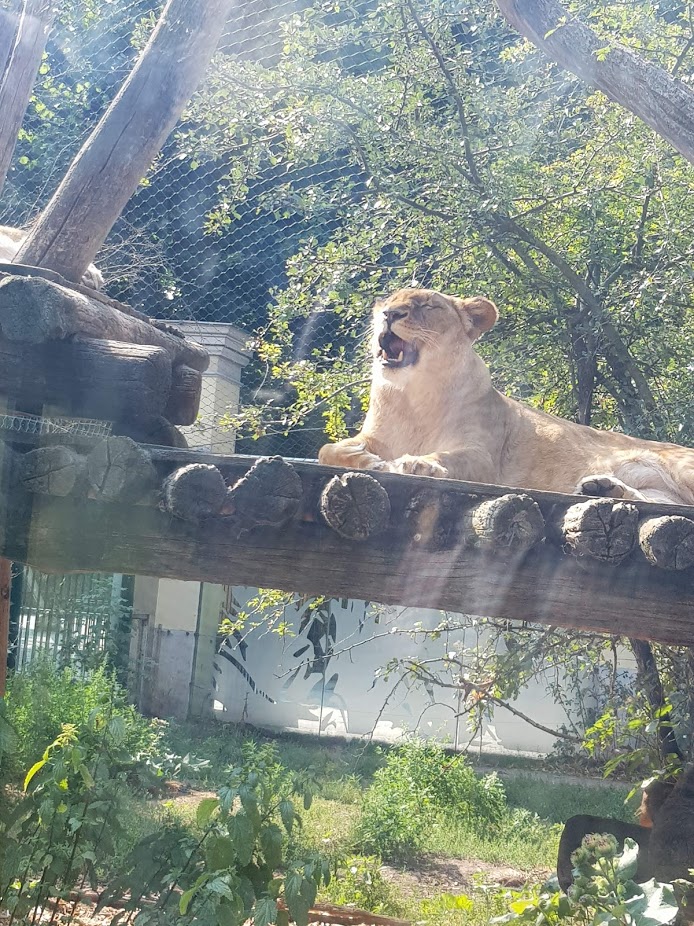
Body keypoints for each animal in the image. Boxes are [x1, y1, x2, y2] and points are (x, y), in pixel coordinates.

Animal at [318, 288, 694, 505]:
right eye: (386, 302)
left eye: (427, 305)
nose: (389, 315)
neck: (414, 395)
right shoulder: (373, 436)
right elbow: (329, 450)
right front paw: (368, 461)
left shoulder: (484, 455)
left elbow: (451, 458)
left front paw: (418, 463)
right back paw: (602, 488)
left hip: (682, 467)